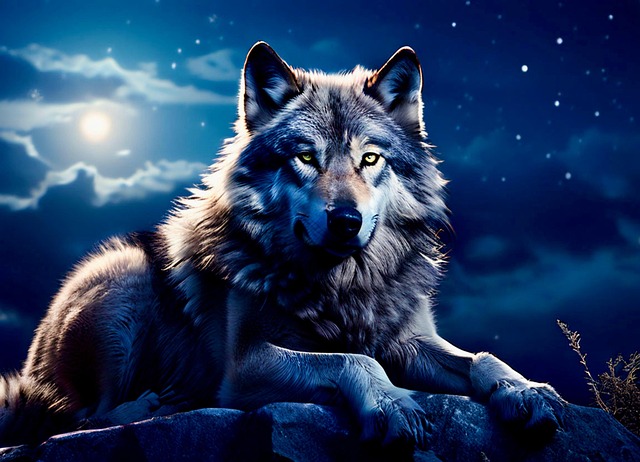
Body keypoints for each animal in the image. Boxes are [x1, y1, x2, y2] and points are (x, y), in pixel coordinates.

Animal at [0, 42, 563, 448]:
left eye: (370, 159)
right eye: (306, 158)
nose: (345, 221)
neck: (342, 289)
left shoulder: (407, 341)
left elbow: (482, 358)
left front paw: (526, 390)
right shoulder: (245, 367)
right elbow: (353, 361)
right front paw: (392, 404)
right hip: (125, 281)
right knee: (77, 418)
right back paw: (153, 406)